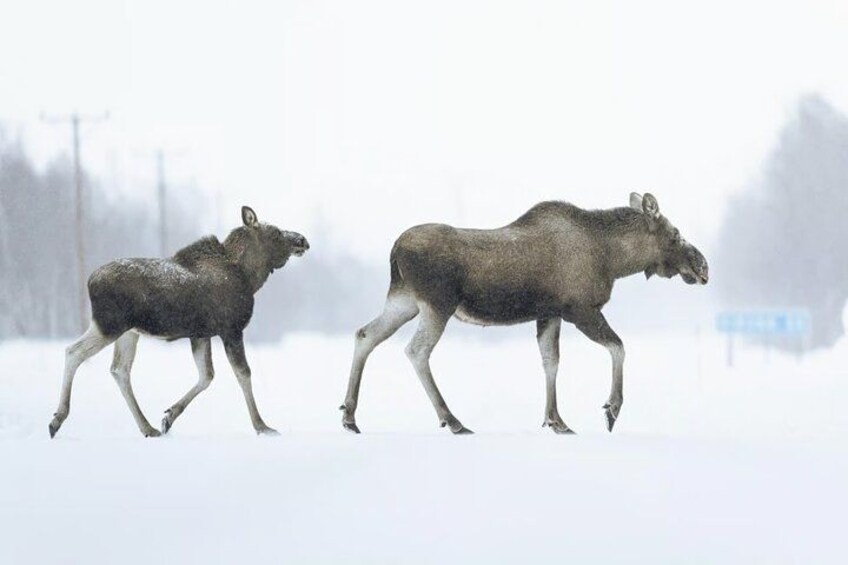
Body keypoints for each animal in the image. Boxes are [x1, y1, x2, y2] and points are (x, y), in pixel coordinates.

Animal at [48, 206, 309, 438]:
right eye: (275, 233)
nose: (302, 240)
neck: (250, 277)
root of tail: (90, 281)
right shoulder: (231, 329)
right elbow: (243, 374)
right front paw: (262, 426)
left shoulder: (201, 334)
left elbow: (206, 375)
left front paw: (169, 416)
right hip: (109, 325)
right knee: (73, 351)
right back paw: (57, 419)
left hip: (128, 332)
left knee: (119, 369)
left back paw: (148, 427)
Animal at [341, 193, 708, 435]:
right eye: (675, 235)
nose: (703, 266)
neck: (615, 260)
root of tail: (395, 249)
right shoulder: (580, 310)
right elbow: (618, 347)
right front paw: (611, 409)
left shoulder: (550, 313)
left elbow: (551, 361)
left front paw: (556, 420)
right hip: (437, 304)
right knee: (416, 351)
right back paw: (452, 420)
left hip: (404, 301)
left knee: (365, 334)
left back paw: (349, 416)